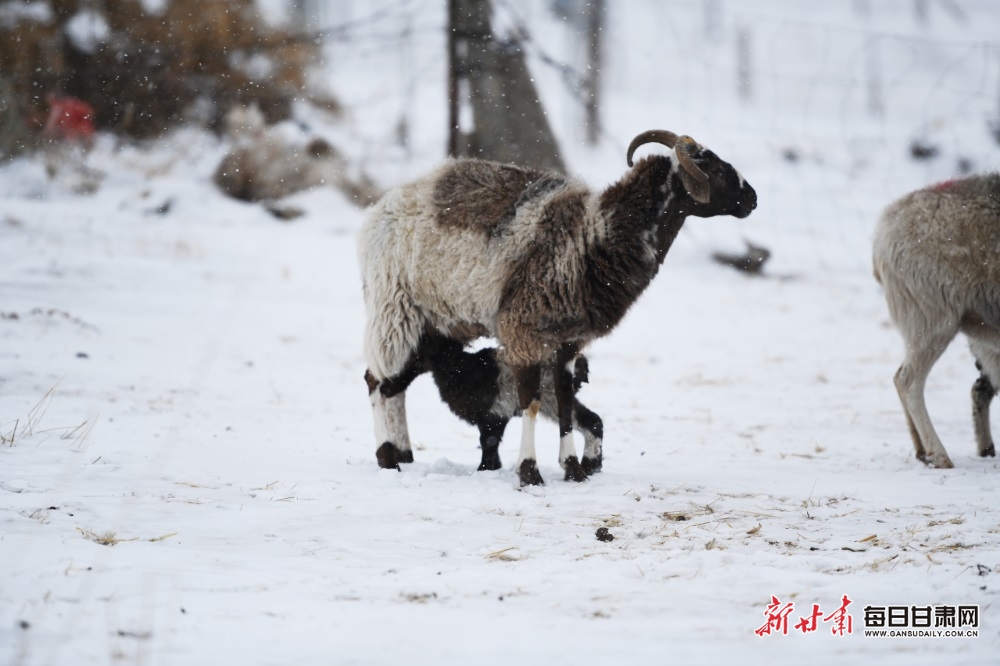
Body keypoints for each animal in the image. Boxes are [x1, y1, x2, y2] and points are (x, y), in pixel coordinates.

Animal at [366, 330, 604, 474]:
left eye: (416, 355)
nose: (386, 386)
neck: (458, 368)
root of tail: (581, 365)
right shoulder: (494, 416)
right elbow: (490, 447)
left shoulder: (495, 413)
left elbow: (488, 444)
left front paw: (484, 470)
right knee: (592, 420)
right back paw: (591, 466)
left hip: (549, 397)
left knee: (586, 420)